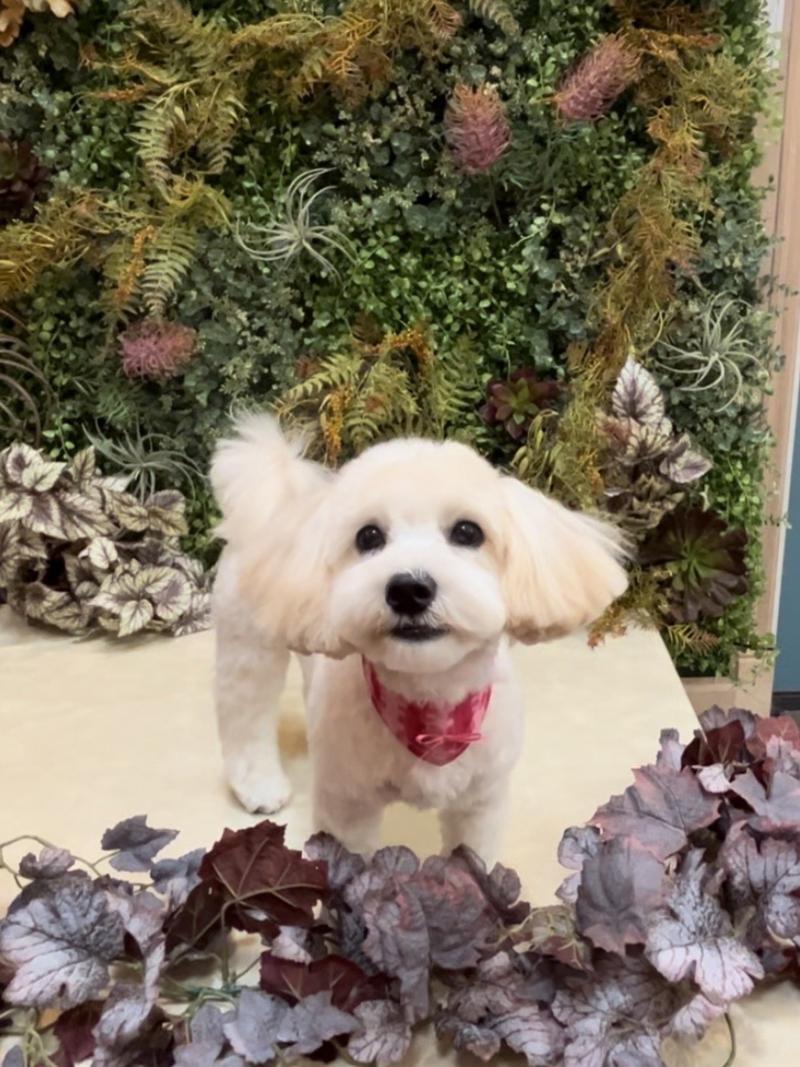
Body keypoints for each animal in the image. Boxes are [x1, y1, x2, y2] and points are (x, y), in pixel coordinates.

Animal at [210, 415, 627, 861]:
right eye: (368, 537)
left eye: (467, 532)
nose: (409, 589)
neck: (431, 705)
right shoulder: (346, 806)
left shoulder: (481, 801)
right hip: (247, 645)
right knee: (246, 714)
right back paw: (259, 786)